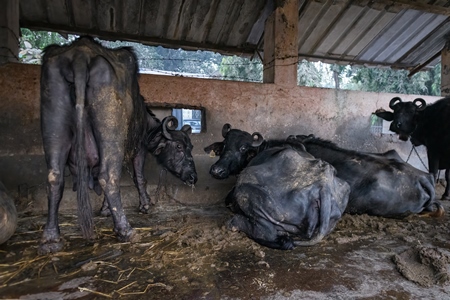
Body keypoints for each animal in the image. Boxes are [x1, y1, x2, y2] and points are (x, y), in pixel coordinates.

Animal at [39, 36, 198, 254]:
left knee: (55, 178)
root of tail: (80, 54)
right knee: (108, 176)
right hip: (110, 133)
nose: (193, 177)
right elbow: (139, 178)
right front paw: (145, 205)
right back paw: (126, 230)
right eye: (180, 148)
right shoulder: (138, 149)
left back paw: (51, 237)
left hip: (54, 125)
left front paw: (105, 209)